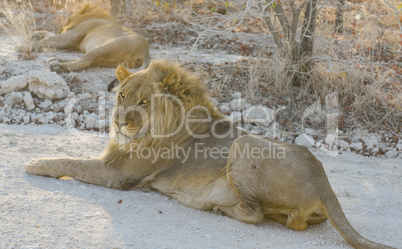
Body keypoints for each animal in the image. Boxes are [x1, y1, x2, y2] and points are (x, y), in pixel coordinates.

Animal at [14, 4, 151, 73]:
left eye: (68, 19)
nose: (61, 28)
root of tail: (146, 51)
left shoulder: (69, 37)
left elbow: (45, 40)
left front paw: (22, 46)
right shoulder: (71, 40)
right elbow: (47, 34)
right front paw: (33, 35)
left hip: (104, 47)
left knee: (83, 62)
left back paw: (57, 66)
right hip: (107, 59)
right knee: (84, 60)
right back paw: (56, 60)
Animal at [25, 59, 396, 248]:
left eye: (144, 102)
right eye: (121, 97)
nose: (118, 122)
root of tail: (325, 185)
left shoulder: (118, 174)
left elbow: (70, 161)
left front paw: (34, 162)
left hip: (243, 146)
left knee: (258, 215)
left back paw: (216, 205)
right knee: (294, 222)